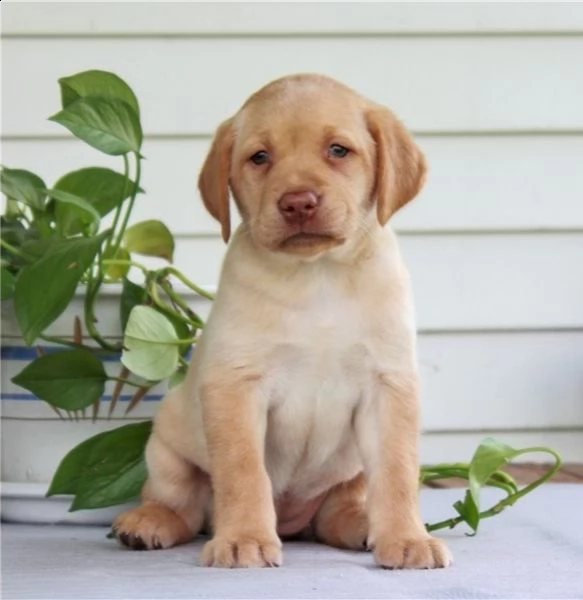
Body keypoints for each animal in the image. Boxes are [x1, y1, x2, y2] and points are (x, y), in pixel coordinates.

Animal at [113, 72, 452, 568]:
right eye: (260, 157)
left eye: (338, 150)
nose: (298, 202)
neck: (318, 276)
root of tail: (294, 523)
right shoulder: (236, 385)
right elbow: (243, 472)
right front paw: (244, 538)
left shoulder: (388, 385)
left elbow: (397, 471)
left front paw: (408, 539)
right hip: (166, 446)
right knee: (182, 505)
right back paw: (148, 522)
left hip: (349, 473)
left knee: (339, 512)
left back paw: (362, 527)